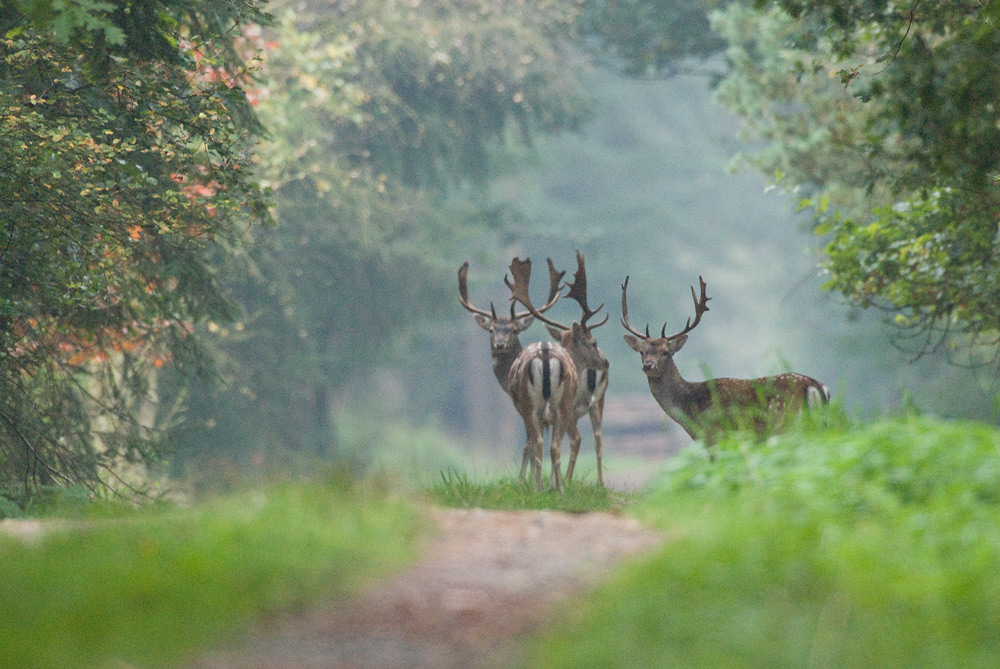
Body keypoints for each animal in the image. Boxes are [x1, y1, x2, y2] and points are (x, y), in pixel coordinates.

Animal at [508, 253, 608, 488]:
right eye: (593, 342)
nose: (606, 362)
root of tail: (545, 353)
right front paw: (551, 483)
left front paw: (543, 482)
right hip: (560, 406)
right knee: (561, 443)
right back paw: (560, 487)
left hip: (535, 406)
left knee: (542, 443)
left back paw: (544, 487)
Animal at [624, 272, 828, 454]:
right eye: (642, 351)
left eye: (666, 352)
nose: (648, 365)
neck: (690, 407)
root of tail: (816, 386)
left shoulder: (715, 436)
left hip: (785, 424)